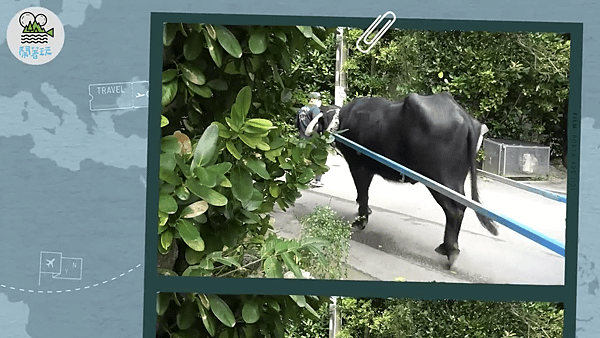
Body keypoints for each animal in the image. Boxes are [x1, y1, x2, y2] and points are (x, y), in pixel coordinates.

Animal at [308, 92, 500, 266]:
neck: (343, 122)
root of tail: (464, 118)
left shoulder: (359, 167)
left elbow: (362, 193)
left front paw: (361, 220)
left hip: (440, 181)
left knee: (454, 211)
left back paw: (450, 250)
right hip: (457, 181)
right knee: (461, 207)